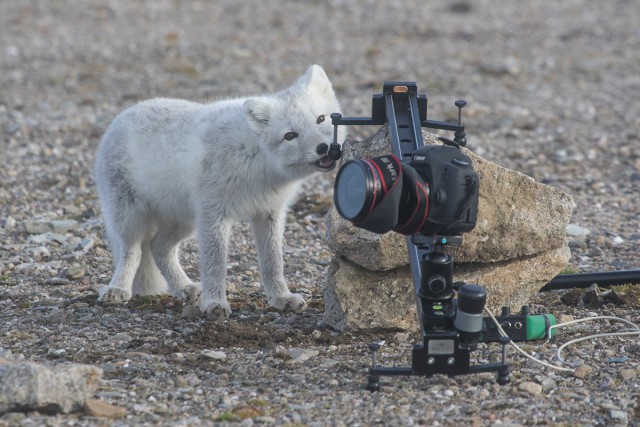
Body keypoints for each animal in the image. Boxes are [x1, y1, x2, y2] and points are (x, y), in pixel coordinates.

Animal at [94, 65, 344, 320]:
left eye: (320, 119)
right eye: (290, 135)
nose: (323, 148)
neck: (257, 160)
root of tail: (121, 117)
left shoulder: (269, 213)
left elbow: (273, 262)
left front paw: (282, 299)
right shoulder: (214, 214)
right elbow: (215, 264)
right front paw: (215, 303)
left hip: (184, 222)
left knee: (159, 248)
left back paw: (185, 288)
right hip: (130, 218)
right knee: (132, 252)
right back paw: (117, 289)